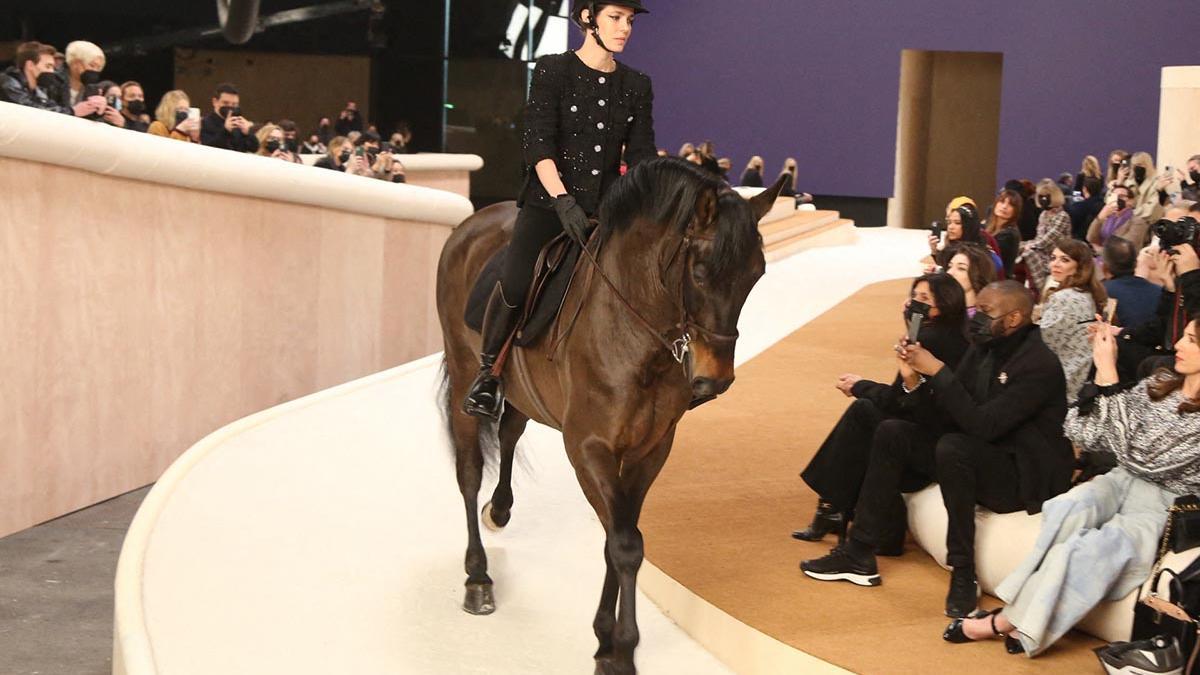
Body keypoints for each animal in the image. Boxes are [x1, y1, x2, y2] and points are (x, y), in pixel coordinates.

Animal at [436, 158, 782, 672]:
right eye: (700, 272)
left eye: (756, 274)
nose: (714, 380)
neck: (636, 334)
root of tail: (471, 222)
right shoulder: (589, 448)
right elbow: (625, 544)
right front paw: (622, 650)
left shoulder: (649, 450)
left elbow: (617, 536)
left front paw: (605, 638)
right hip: (463, 373)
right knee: (470, 470)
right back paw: (478, 577)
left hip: (521, 392)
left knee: (511, 431)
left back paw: (499, 510)